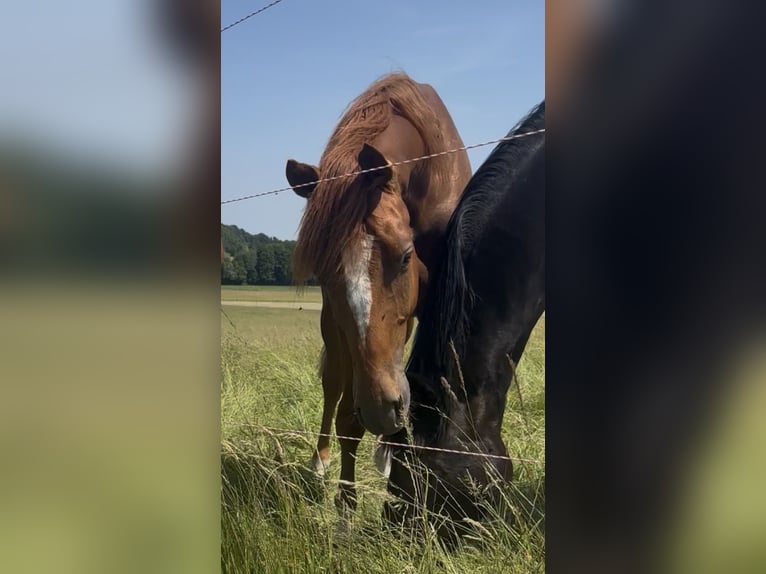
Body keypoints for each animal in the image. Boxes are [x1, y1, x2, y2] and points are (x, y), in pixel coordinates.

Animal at [285, 73, 472, 509]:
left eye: (405, 256)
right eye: (321, 273)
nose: (380, 411)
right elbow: (347, 417)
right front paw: (346, 507)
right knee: (333, 384)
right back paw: (321, 461)